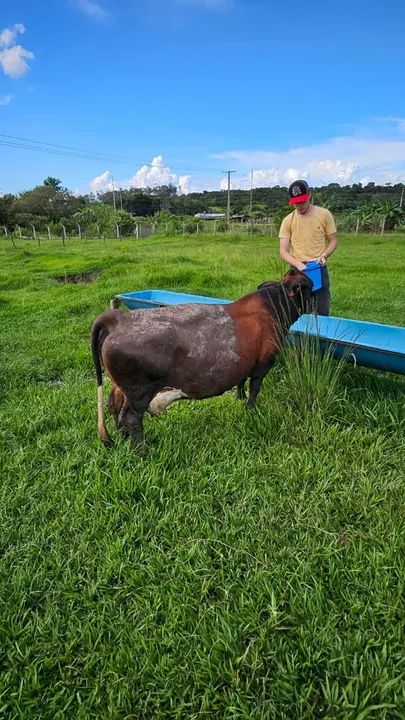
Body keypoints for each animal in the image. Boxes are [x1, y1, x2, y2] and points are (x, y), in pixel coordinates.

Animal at [91, 268, 313, 448]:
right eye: (309, 286)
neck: (273, 307)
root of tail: (119, 318)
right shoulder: (264, 361)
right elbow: (255, 388)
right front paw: (251, 409)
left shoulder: (245, 360)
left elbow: (242, 381)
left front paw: (240, 398)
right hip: (140, 390)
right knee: (131, 418)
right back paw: (142, 450)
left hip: (120, 386)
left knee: (114, 406)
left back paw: (123, 439)